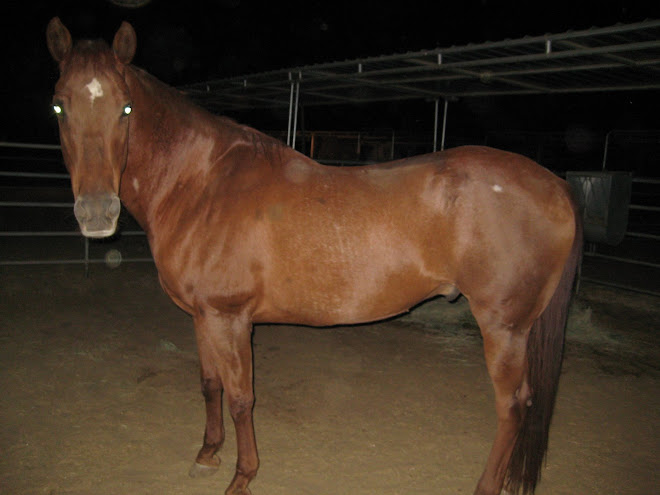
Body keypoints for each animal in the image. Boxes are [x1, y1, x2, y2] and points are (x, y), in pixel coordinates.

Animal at [47, 17, 584, 494]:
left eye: (126, 108)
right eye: (58, 107)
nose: (97, 212)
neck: (201, 183)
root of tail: (556, 186)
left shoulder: (229, 317)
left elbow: (241, 397)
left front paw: (242, 477)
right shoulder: (203, 316)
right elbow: (210, 383)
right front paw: (207, 454)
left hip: (504, 327)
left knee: (513, 406)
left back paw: (487, 486)